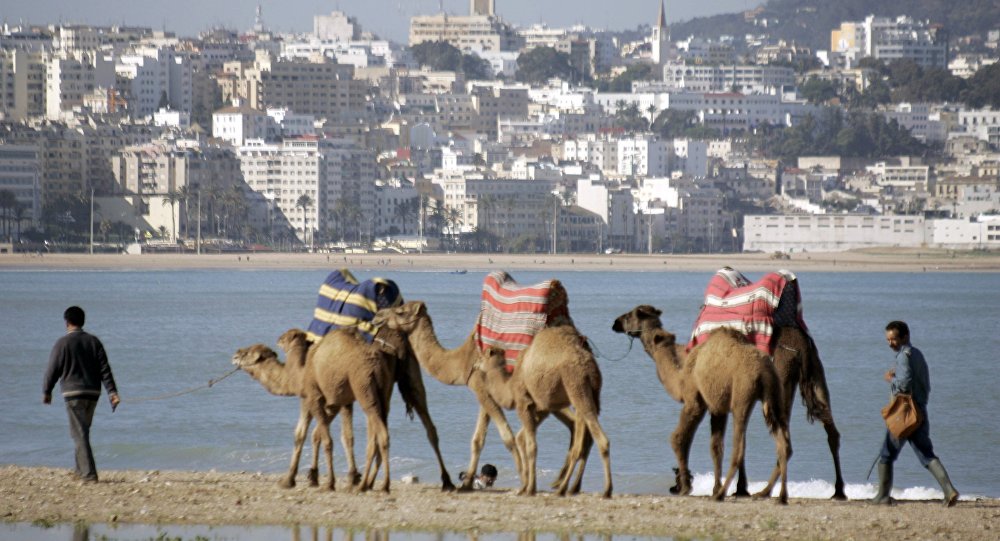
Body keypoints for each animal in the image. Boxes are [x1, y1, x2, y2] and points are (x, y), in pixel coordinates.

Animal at [232, 324, 456, 490]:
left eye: (249, 353)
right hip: (397, 384)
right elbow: (335, 436)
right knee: (426, 426)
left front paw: (298, 480)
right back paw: (445, 481)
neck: (300, 373)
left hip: (365, 388)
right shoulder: (338, 402)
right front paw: (330, 476)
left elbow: (309, 435)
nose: (235, 354)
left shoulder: (313, 398)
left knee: (378, 433)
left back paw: (376, 485)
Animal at [370, 302, 584, 492]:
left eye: (401, 310)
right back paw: (563, 483)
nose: (378, 316)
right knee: (576, 423)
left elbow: (506, 436)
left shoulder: (481, 387)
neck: (463, 360)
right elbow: (478, 439)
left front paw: (523, 481)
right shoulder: (484, 392)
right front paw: (466, 484)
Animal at [474, 338, 608, 498]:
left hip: (577, 389)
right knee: (587, 440)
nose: (474, 365)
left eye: (481, 357)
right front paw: (526, 487)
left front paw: (529, 489)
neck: (510, 386)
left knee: (590, 441)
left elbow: (531, 446)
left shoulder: (524, 404)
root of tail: (590, 366)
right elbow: (521, 439)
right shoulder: (542, 408)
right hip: (592, 395)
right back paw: (573, 487)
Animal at [608, 306, 788, 504]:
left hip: (742, 395)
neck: (680, 375)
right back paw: (776, 495)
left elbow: (678, 438)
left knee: (739, 448)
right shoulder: (717, 406)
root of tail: (764, 371)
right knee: (784, 443)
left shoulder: (694, 399)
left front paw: (686, 487)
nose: (615, 323)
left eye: (631, 315)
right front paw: (714, 486)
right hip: (775, 395)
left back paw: (722, 494)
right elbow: (715, 447)